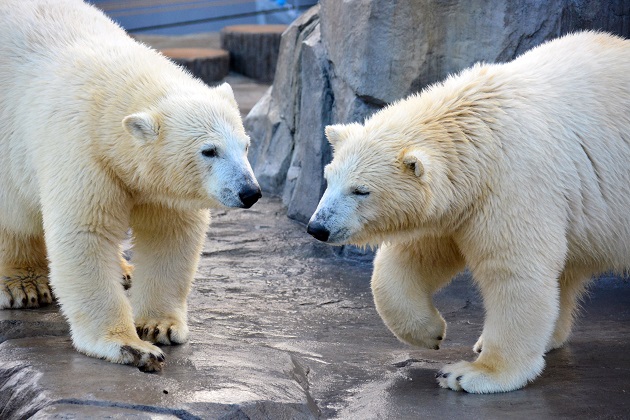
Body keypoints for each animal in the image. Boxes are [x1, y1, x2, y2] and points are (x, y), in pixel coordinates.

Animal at [0, 0, 262, 370]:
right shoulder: (81, 149)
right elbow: (86, 234)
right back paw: (23, 284)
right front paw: (131, 346)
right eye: (209, 150)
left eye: (245, 145)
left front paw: (159, 326)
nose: (249, 192)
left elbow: (169, 233)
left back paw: (124, 270)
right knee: (15, 215)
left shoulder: (156, 184)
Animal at [308, 32, 630, 394]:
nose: (317, 227)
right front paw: (430, 331)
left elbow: (514, 270)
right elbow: (417, 255)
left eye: (361, 190)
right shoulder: (459, 203)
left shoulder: (515, 179)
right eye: (329, 178)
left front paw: (471, 373)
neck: (481, 131)